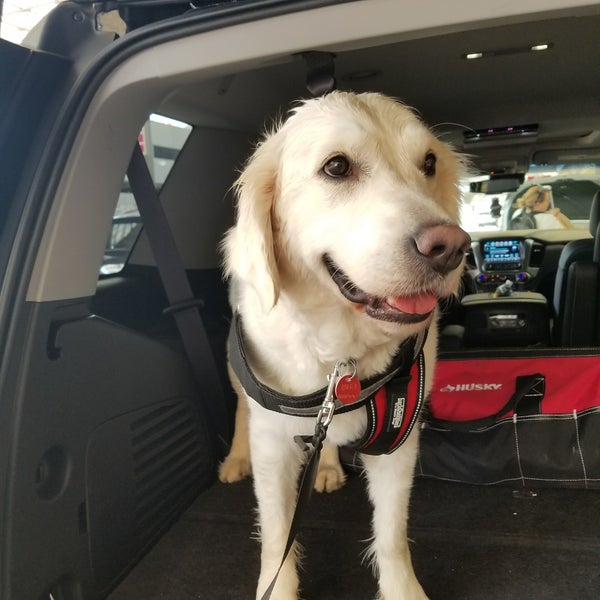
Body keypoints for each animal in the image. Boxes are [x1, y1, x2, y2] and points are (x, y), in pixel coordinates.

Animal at [219, 91, 468, 596]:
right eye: (336, 167)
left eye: (429, 162)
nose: (452, 246)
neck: (341, 357)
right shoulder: (273, 446)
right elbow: (276, 538)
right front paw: (277, 587)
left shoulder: (399, 442)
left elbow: (391, 537)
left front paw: (403, 590)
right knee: (239, 408)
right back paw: (235, 458)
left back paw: (330, 466)